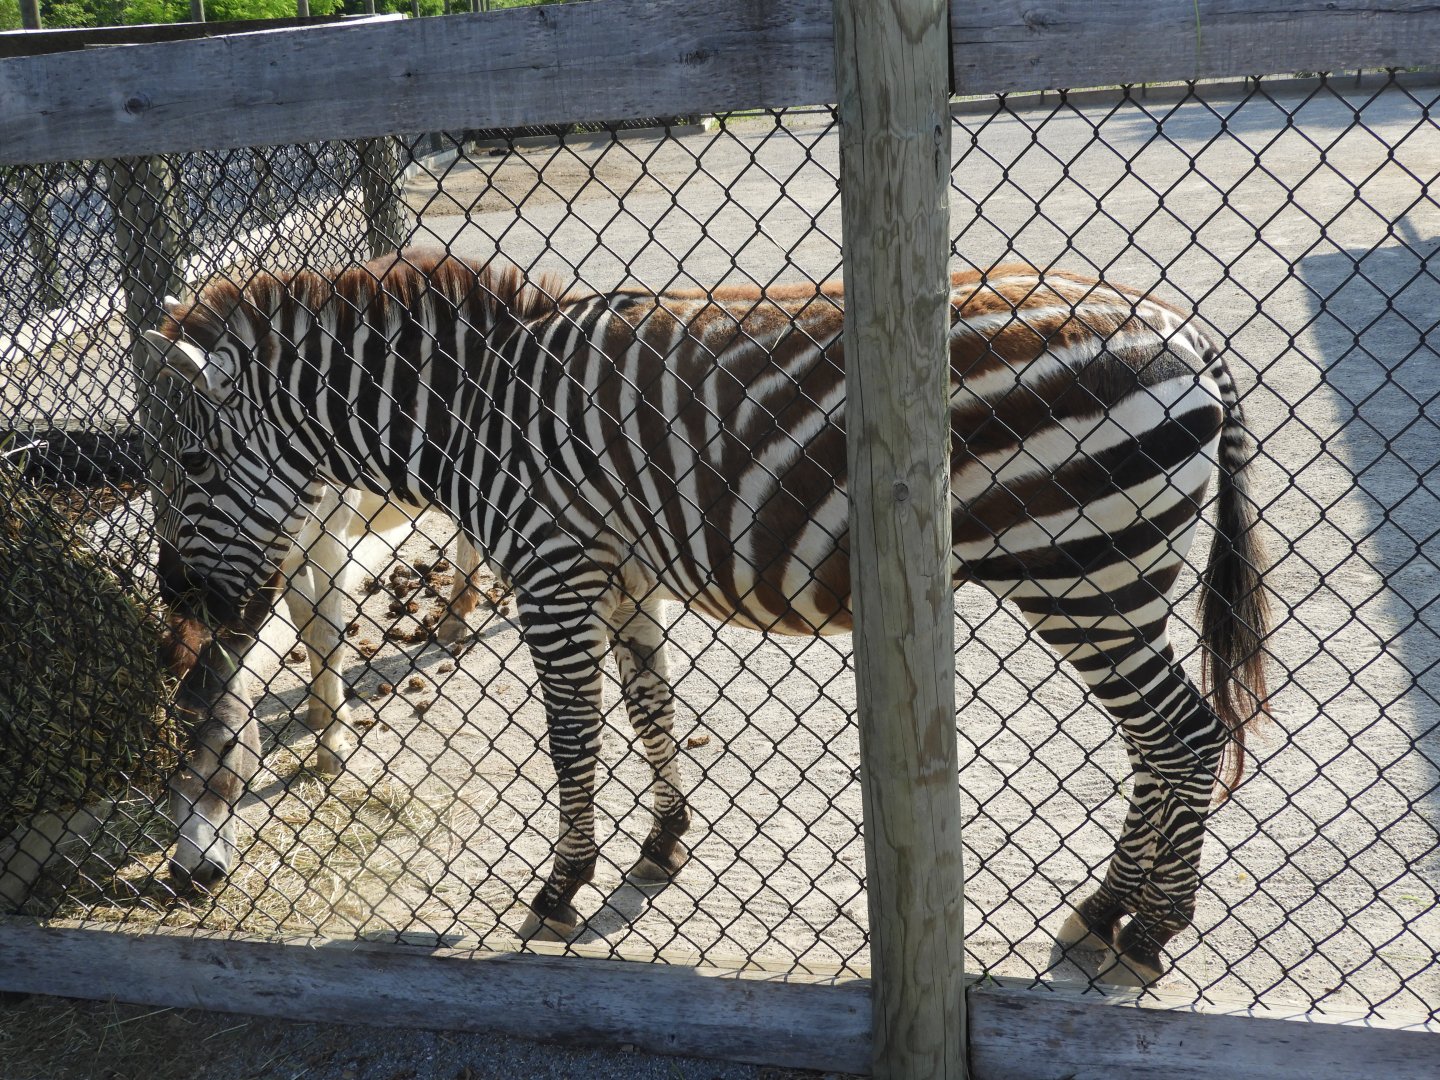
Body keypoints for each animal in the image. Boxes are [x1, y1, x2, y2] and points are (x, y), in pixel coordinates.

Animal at [142, 250, 1269, 985]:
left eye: (190, 463)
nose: (179, 604)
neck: (477, 415)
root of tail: (1188, 333)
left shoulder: (550, 569)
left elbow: (572, 736)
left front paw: (563, 886)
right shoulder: (623, 570)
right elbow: (650, 707)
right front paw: (664, 841)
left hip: (1085, 574)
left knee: (1183, 734)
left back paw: (1153, 930)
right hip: (1112, 580)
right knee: (1160, 741)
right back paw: (1107, 909)